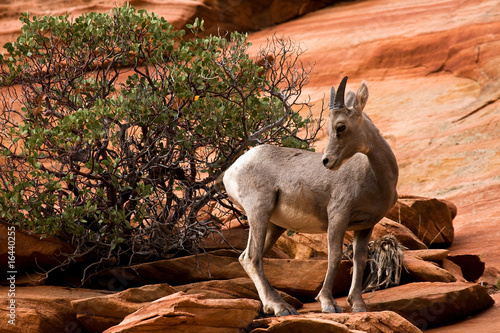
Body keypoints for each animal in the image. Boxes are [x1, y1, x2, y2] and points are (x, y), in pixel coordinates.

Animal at [223, 76, 398, 316]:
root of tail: (230, 172)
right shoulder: (338, 216)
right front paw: (328, 304)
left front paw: (358, 305)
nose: (327, 161)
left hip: (274, 225)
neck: (374, 176)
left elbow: (360, 259)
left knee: (246, 258)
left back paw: (271, 307)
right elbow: (334, 256)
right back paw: (282, 308)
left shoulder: (365, 226)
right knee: (252, 258)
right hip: (259, 212)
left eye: (340, 126)